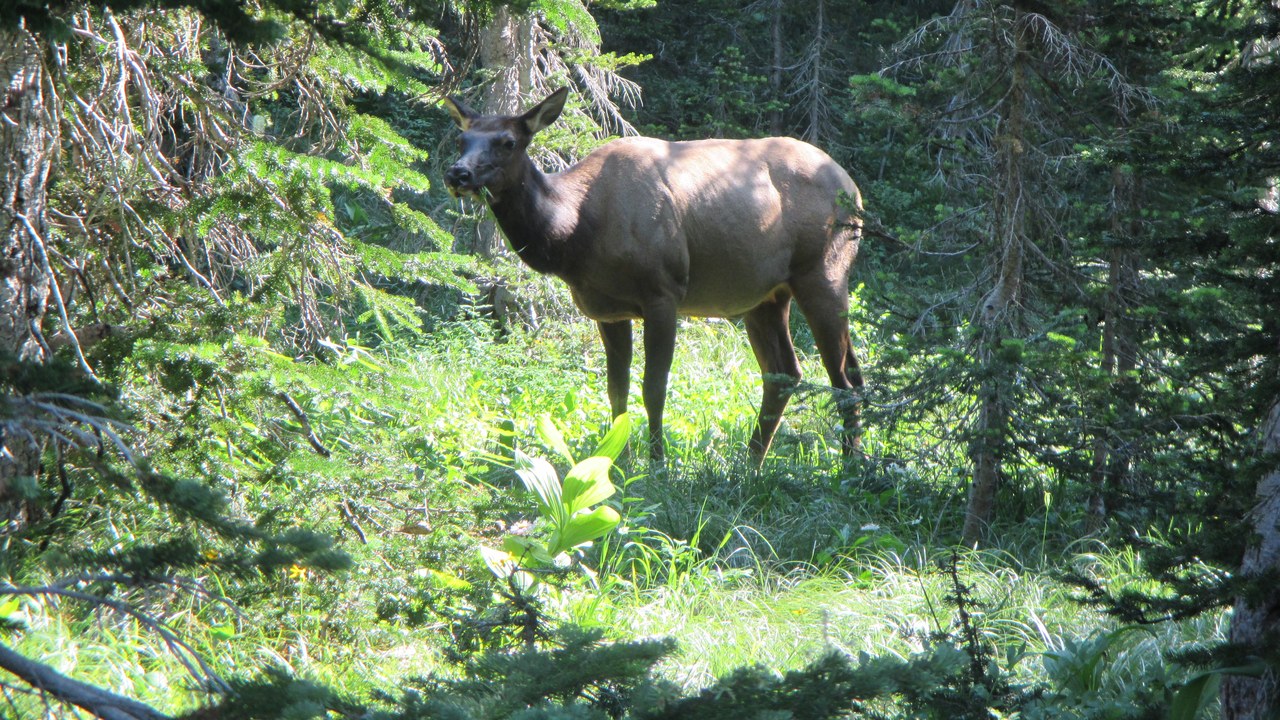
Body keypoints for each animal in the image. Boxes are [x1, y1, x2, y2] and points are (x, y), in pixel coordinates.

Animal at [443, 88, 864, 464]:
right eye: (462, 138)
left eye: (508, 142)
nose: (457, 173)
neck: (575, 235)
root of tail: (854, 189)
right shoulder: (608, 310)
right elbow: (617, 388)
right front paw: (617, 462)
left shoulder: (664, 294)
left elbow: (654, 388)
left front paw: (657, 466)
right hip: (766, 296)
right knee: (789, 372)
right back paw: (752, 464)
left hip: (823, 273)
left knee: (843, 379)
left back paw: (849, 466)